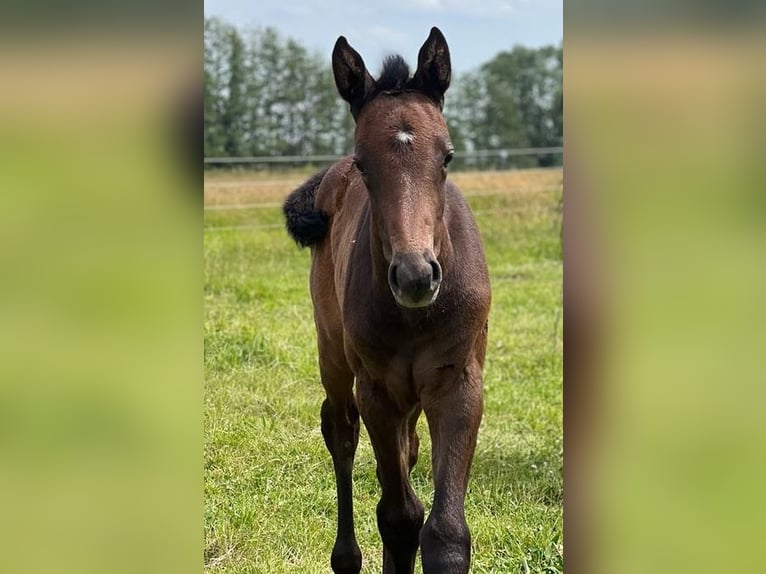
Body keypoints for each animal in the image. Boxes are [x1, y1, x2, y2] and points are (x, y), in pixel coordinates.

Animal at [283, 27, 491, 574]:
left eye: (447, 156)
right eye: (363, 163)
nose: (416, 276)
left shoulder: (458, 384)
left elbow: (444, 530)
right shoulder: (375, 389)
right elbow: (400, 518)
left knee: (407, 450)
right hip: (334, 357)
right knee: (340, 432)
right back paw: (347, 557)